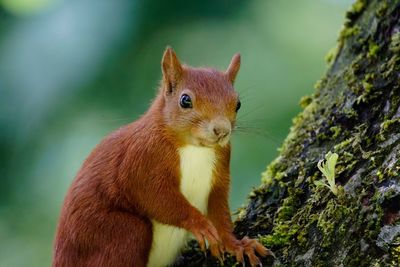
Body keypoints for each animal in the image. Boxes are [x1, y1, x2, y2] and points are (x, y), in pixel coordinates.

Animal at [53, 47, 272, 266]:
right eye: (185, 100)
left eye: (238, 104)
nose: (222, 130)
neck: (194, 149)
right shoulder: (142, 159)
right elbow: (155, 196)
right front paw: (199, 224)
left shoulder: (220, 169)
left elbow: (219, 211)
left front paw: (236, 244)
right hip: (117, 232)